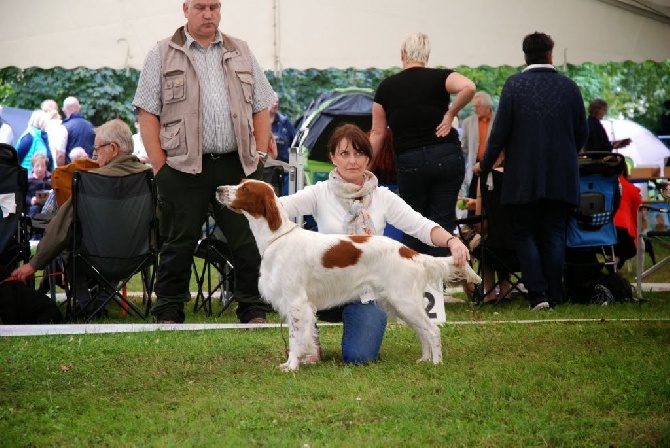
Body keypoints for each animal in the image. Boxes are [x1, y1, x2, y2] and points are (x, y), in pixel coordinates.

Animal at [218, 178, 480, 372]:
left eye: (245, 188)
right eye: (240, 183)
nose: (219, 189)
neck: (277, 238)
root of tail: (411, 252)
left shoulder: (296, 302)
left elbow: (294, 338)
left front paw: (291, 366)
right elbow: (305, 335)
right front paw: (302, 360)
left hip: (405, 301)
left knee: (432, 330)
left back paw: (436, 363)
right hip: (400, 304)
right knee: (422, 332)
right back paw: (424, 360)